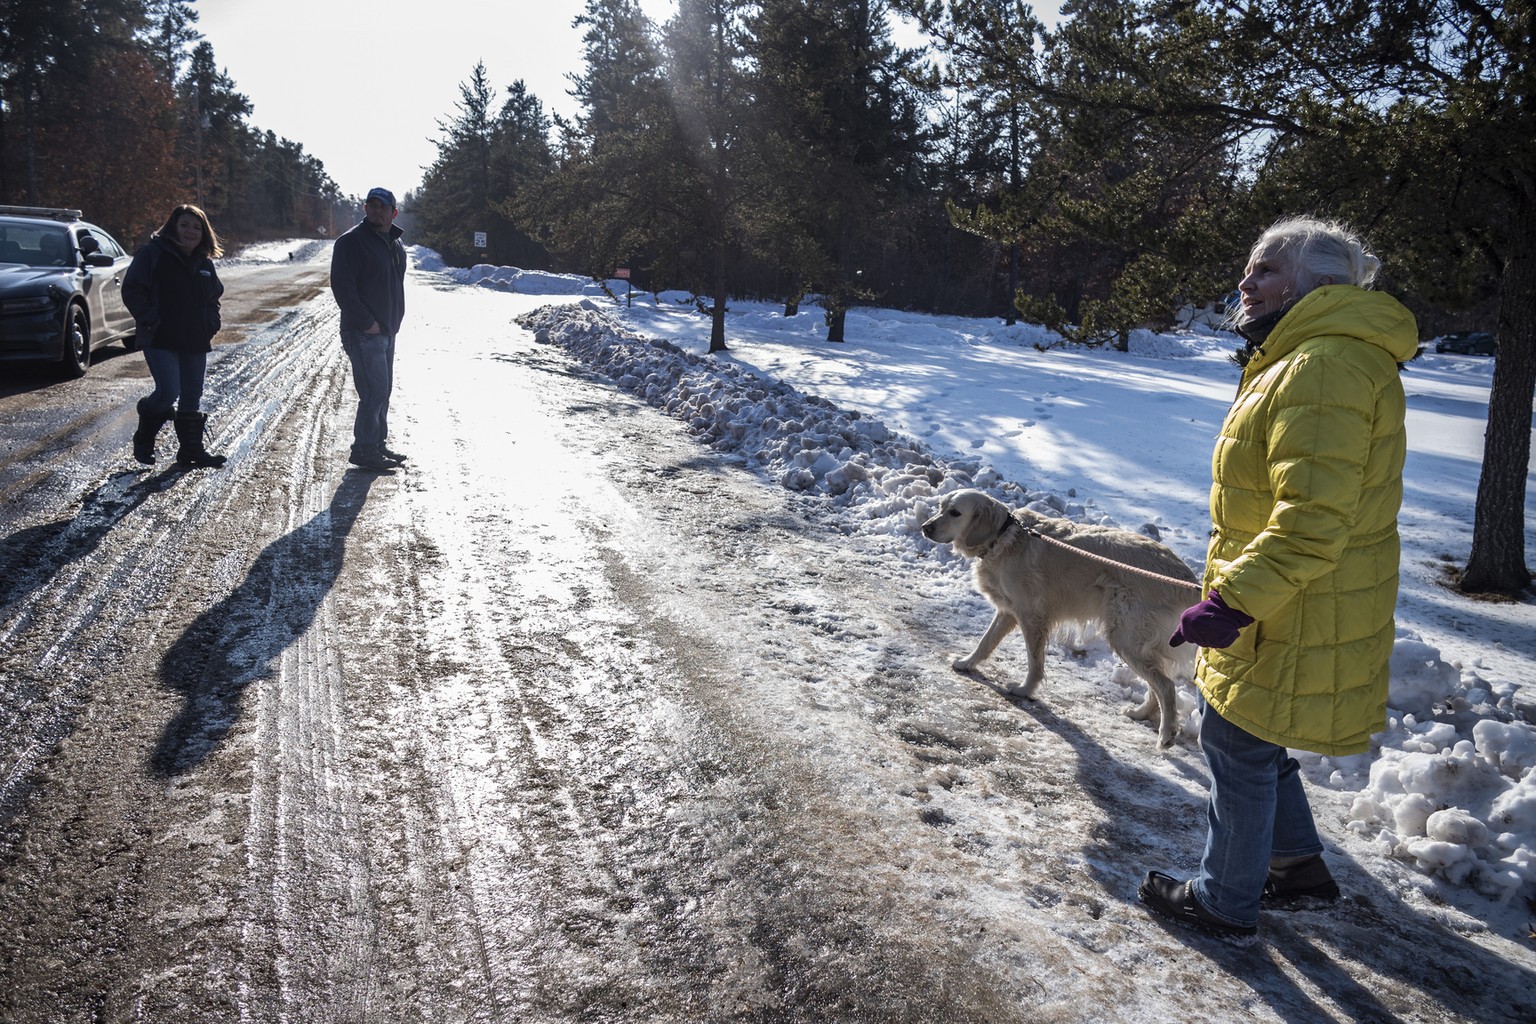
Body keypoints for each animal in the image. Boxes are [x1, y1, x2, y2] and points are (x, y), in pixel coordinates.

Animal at [921, 488, 1198, 746]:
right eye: (941, 507)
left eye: (955, 512)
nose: (925, 527)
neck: (1003, 537)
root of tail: (1185, 575)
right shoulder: (1008, 611)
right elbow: (985, 643)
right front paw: (967, 663)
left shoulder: (1031, 615)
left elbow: (1034, 662)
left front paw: (1024, 690)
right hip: (1136, 642)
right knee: (1158, 683)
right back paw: (1141, 713)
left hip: (1125, 638)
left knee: (1166, 686)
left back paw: (1166, 735)